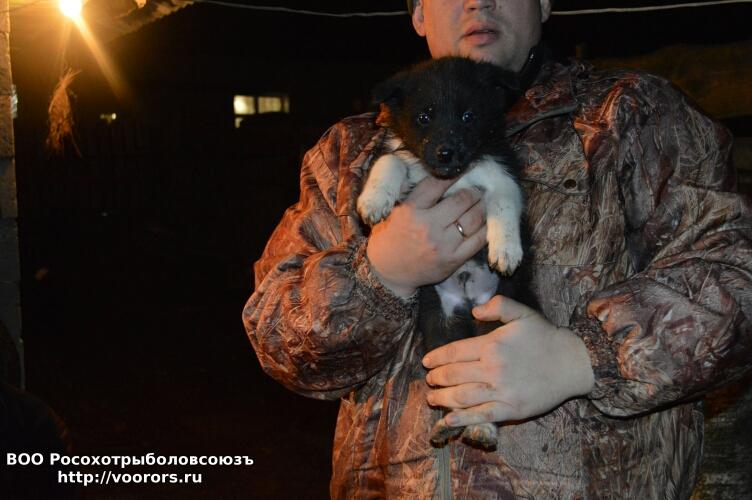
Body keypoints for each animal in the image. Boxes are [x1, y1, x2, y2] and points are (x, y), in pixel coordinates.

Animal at [357, 57, 537, 451]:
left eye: (468, 116)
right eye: (424, 117)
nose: (446, 153)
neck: (453, 177)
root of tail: (468, 304)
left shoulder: (503, 172)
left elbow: (503, 203)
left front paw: (506, 249)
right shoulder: (409, 168)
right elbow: (390, 161)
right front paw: (373, 200)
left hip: (494, 330)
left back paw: (482, 429)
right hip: (440, 331)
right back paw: (449, 425)